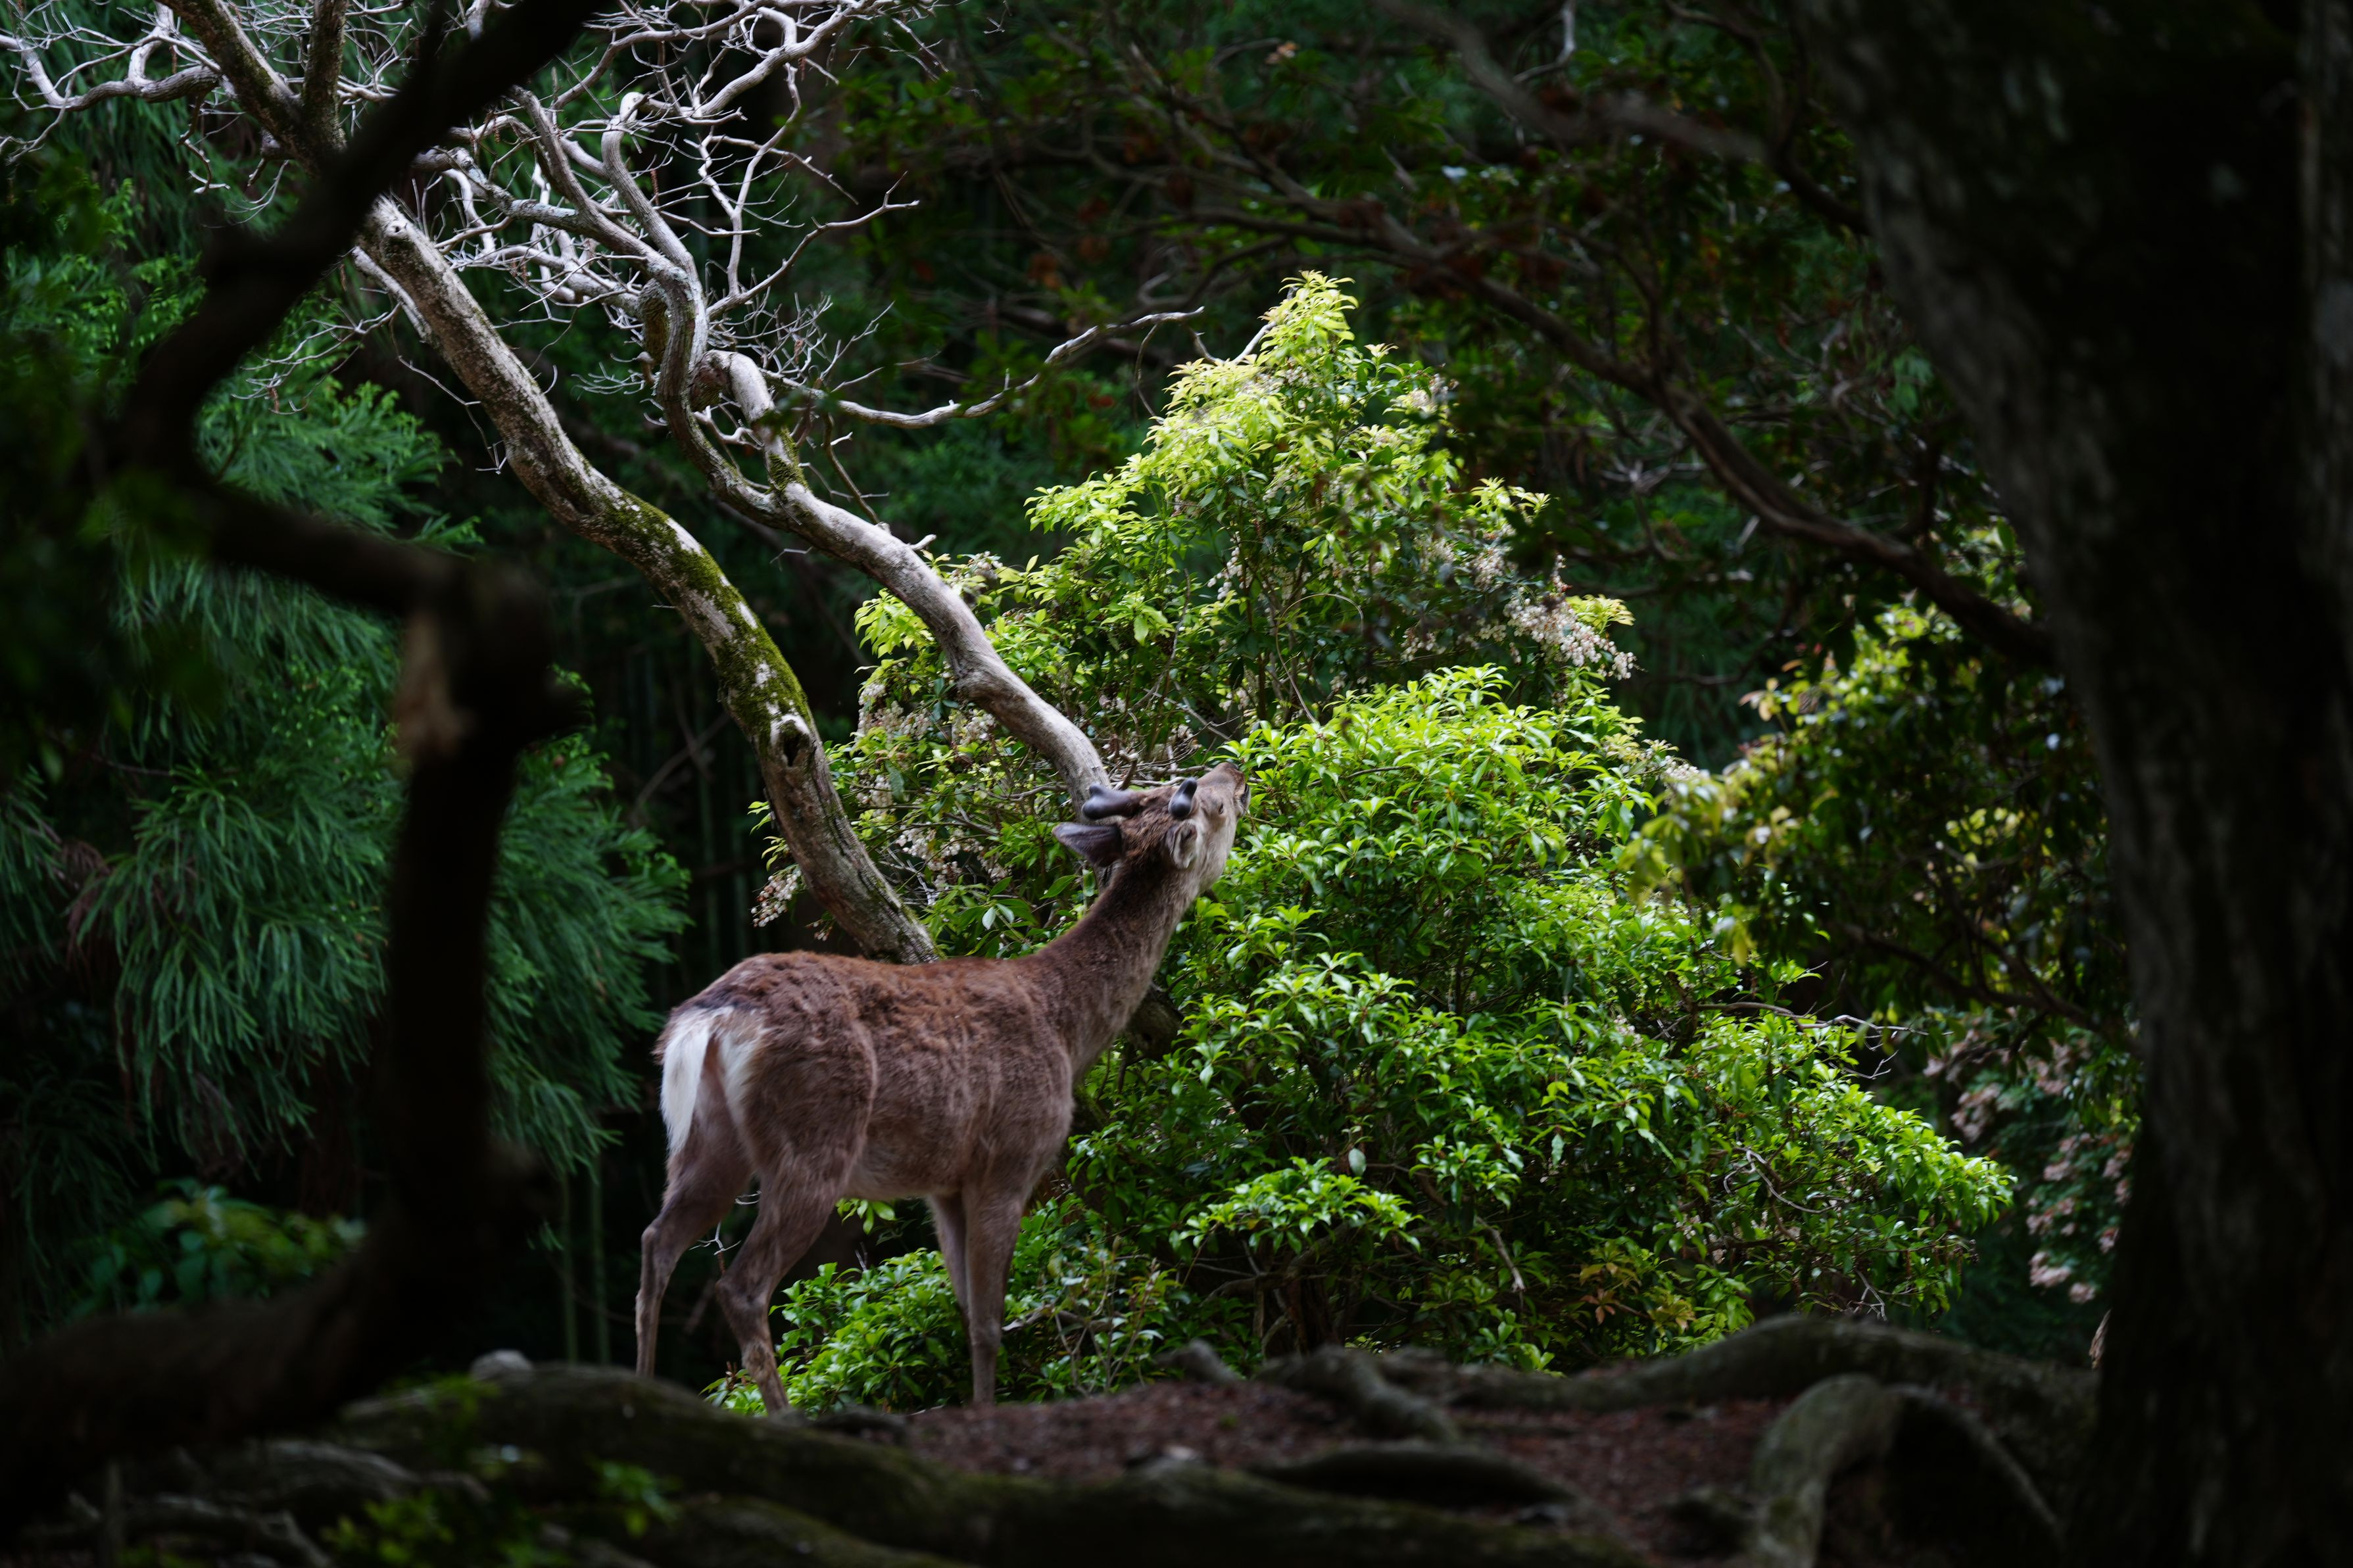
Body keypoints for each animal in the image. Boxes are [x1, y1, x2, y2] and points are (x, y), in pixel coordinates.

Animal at [635, 761, 1248, 1413]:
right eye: (1212, 806)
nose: (1234, 771)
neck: (1067, 1026)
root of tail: (711, 1016)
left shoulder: (945, 1183)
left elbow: (964, 1307)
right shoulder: (1010, 1159)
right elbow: (988, 1322)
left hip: (707, 1139)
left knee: (657, 1240)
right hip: (813, 1140)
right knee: (743, 1285)